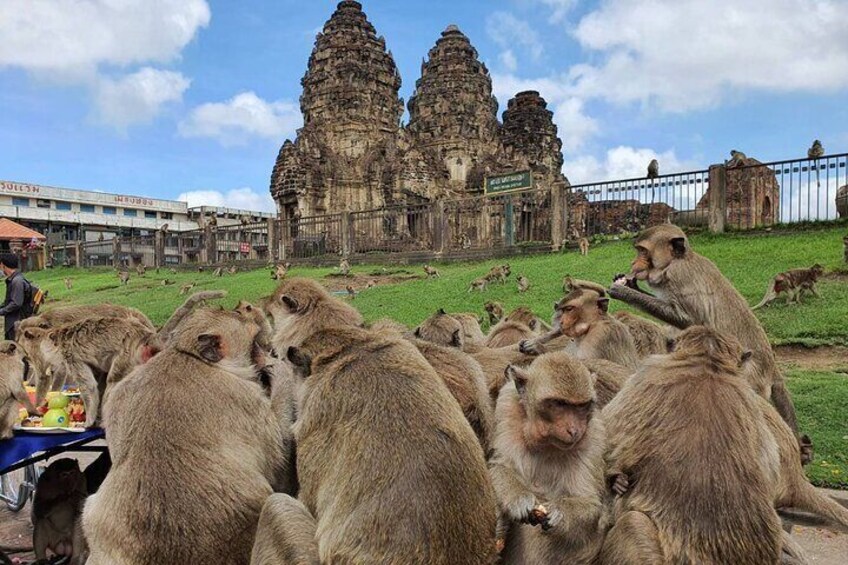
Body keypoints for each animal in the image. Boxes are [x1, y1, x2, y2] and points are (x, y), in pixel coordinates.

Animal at [83, 308, 294, 564]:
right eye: (254, 344)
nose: (267, 353)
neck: (189, 356)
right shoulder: (246, 398)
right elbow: (279, 456)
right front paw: (282, 370)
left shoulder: (122, 391)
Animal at [490, 352, 608, 564]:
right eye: (560, 404)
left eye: (581, 406)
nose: (574, 430)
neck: (546, 442)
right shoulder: (507, 406)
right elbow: (499, 465)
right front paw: (518, 499)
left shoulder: (595, 434)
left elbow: (589, 502)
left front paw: (559, 512)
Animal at [608, 223, 808, 460]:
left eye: (643, 252)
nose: (633, 263)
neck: (678, 261)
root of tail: (771, 368)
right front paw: (628, 283)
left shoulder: (679, 276)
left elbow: (692, 320)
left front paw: (623, 291)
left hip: (749, 378)